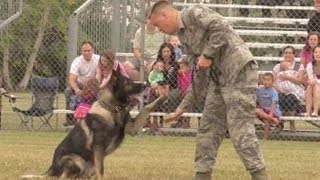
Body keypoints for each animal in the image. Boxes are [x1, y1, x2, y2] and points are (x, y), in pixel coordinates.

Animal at [19, 66, 166, 180]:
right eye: (128, 82)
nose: (146, 85)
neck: (112, 109)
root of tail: (50, 169)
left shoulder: (133, 128)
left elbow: (147, 108)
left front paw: (163, 96)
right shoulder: (98, 148)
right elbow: (101, 171)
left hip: (88, 167)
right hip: (77, 161)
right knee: (63, 177)